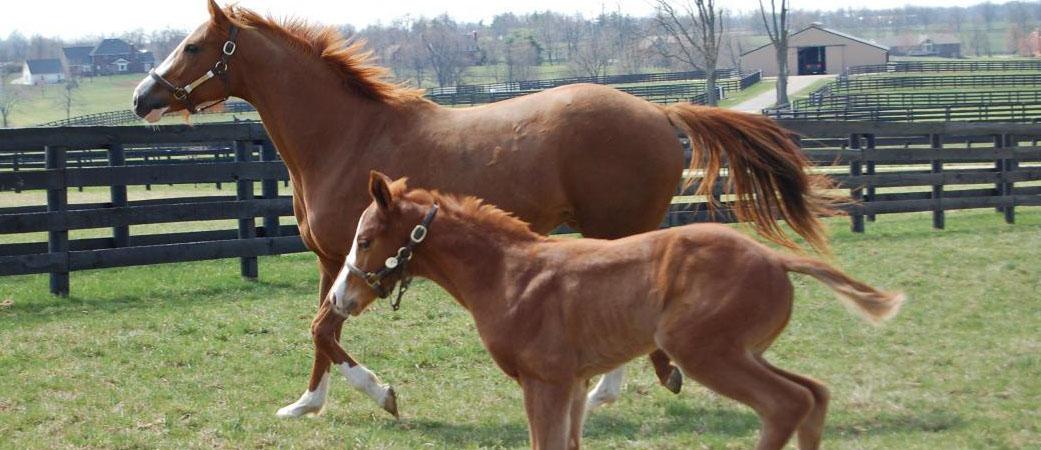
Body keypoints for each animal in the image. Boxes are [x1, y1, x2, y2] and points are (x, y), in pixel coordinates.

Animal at [316, 170, 903, 447]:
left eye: (364, 240)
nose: (340, 298)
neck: (508, 273)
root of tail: (775, 256)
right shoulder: (574, 382)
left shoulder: (545, 380)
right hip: (744, 350)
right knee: (813, 394)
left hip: (704, 351)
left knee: (785, 404)